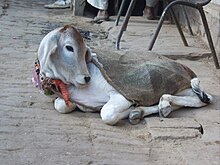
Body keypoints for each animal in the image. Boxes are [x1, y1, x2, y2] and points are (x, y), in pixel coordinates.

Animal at [35, 24, 212, 125]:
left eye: (84, 50)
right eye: (69, 47)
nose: (86, 78)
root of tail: (185, 68)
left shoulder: (121, 95)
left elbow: (107, 113)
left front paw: (132, 109)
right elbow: (61, 105)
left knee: (203, 99)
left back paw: (156, 107)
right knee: (197, 98)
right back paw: (152, 109)